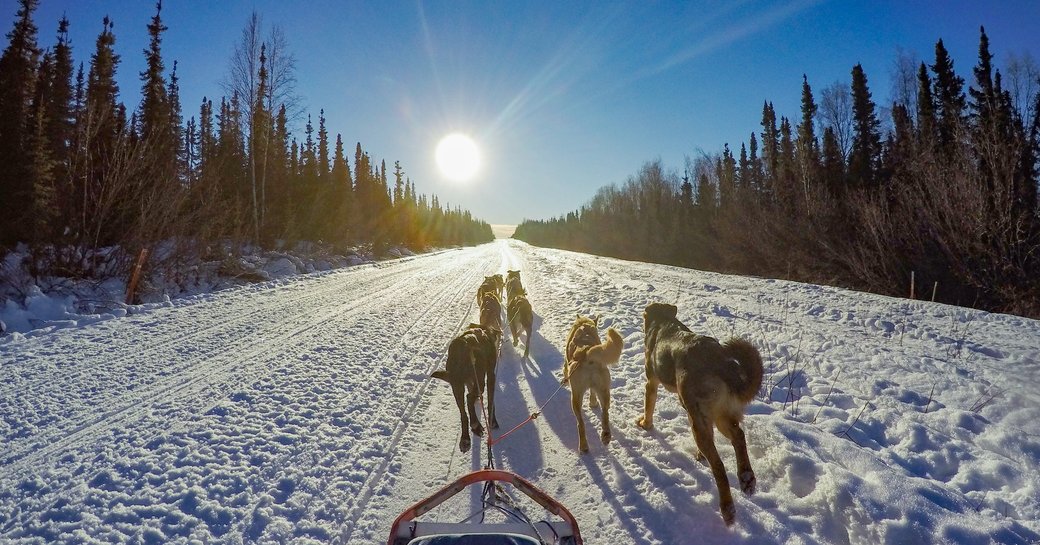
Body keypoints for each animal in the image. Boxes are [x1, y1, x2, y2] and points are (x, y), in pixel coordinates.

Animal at [565, 316, 619, 453]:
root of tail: (586, 352)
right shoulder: (596, 388)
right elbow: (593, 393)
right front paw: (593, 403)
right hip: (604, 391)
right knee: (605, 413)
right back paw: (606, 436)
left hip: (575, 397)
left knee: (581, 423)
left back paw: (583, 446)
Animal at [632, 299, 765, 526]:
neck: (664, 322)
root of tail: (720, 362)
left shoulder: (651, 382)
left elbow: (649, 407)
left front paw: (645, 424)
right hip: (720, 415)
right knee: (739, 437)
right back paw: (746, 478)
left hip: (700, 417)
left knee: (719, 465)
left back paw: (727, 509)